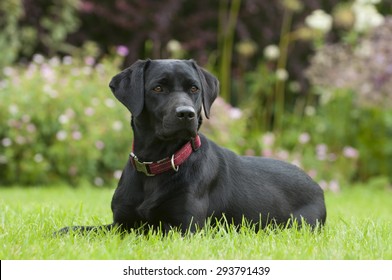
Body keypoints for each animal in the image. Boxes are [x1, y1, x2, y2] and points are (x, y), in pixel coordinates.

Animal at [58, 58, 326, 234]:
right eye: (158, 87)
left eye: (194, 88)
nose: (186, 113)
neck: (157, 163)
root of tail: (317, 185)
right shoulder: (120, 223)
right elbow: (83, 229)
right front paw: (62, 231)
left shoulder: (184, 228)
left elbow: (149, 229)